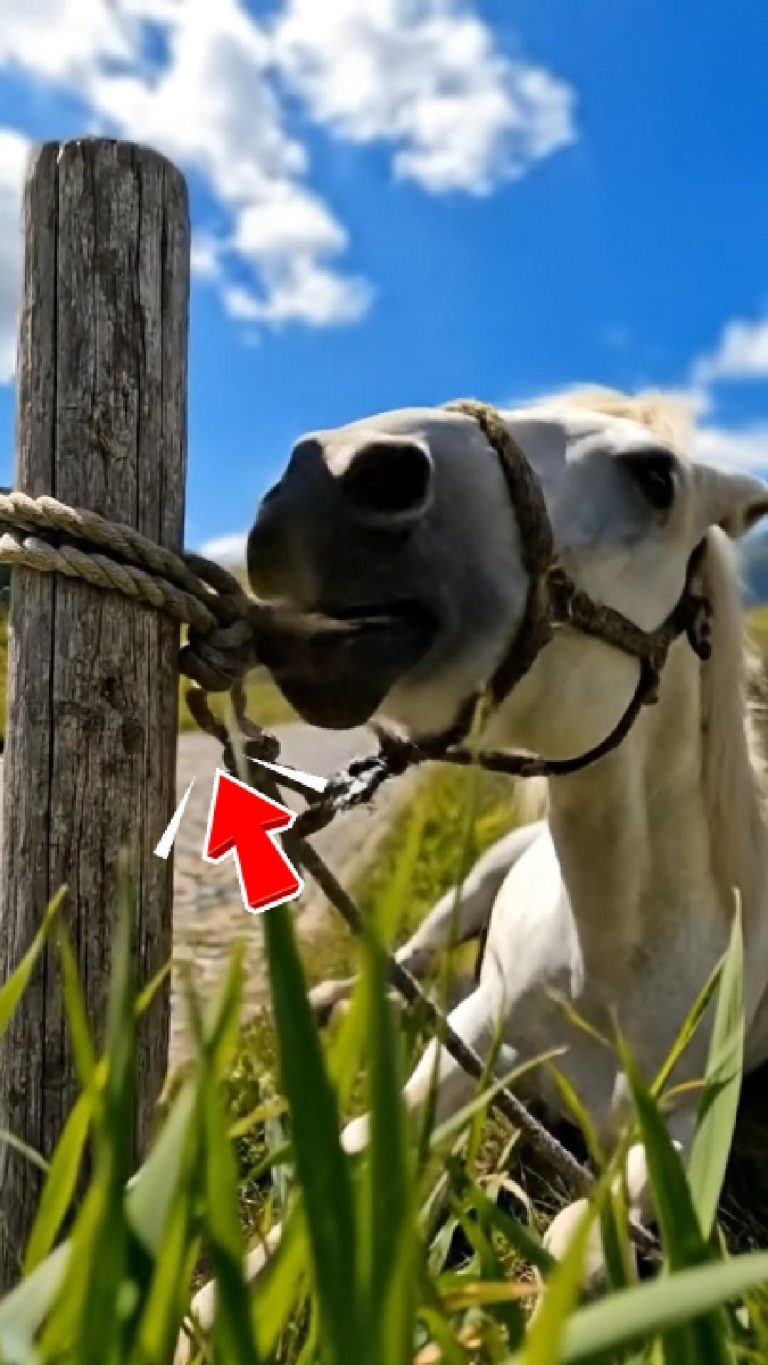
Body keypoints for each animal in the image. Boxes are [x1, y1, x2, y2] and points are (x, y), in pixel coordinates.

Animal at [180, 388, 768, 1346]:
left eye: (657, 480)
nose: (332, 476)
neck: (614, 963)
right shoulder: (469, 1049)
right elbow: (338, 1168)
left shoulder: (682, 1129)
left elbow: (582, 1252)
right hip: (472, 886)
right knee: (416, 958)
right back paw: (332, 997)